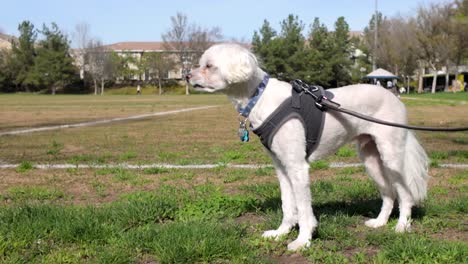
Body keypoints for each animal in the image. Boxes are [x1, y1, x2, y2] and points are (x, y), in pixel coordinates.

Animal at [186, 44, 428, 251]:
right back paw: (380, 222)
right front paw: (281, 232)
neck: (260, 97)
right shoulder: (282, 167)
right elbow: (287, 205)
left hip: (391, 156)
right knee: (388, 194)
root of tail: (395, 97)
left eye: (209, 65)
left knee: (404, 194)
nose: (187, 76)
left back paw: (402, 226)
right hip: (371, 159)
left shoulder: (297, 167)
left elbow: (302, 208)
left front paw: (302, 240)